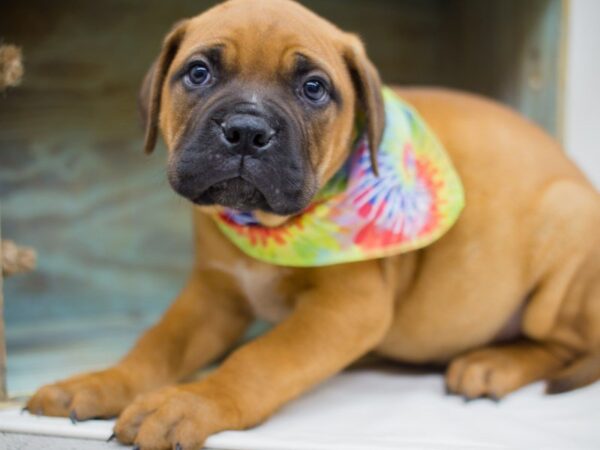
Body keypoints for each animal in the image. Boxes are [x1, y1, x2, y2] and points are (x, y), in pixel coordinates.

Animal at [29, 0, 600, 450]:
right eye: (198, 73)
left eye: (313, 88)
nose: (246, 130)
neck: (267, 227)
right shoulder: (214, 294)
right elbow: (157, 344)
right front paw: (102, 382)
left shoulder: (346, 310)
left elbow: (258, 360)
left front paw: (189, 403)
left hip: (564, 225)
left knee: (565, 346)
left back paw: (492, 365)